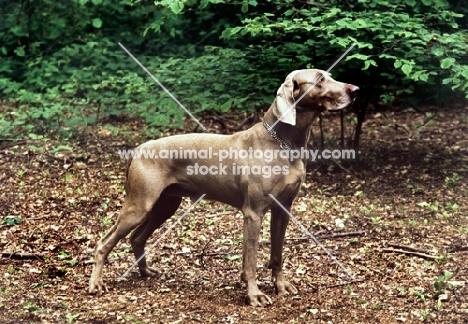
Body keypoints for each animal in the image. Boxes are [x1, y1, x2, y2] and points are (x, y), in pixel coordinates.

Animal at [88, 69, 358, 306]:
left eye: (329, 75)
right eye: (320, 80)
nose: (355, 90)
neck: (283, 144)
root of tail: (138, 149)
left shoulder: (283, 209)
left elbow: (276, 255)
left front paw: (280, 285)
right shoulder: (253, 213)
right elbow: (251, 260)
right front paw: (254, 295)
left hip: (165, 205)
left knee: (136, 238)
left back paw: (146, 272)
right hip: (139, 205)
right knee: (104, 242)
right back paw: (96, 284)